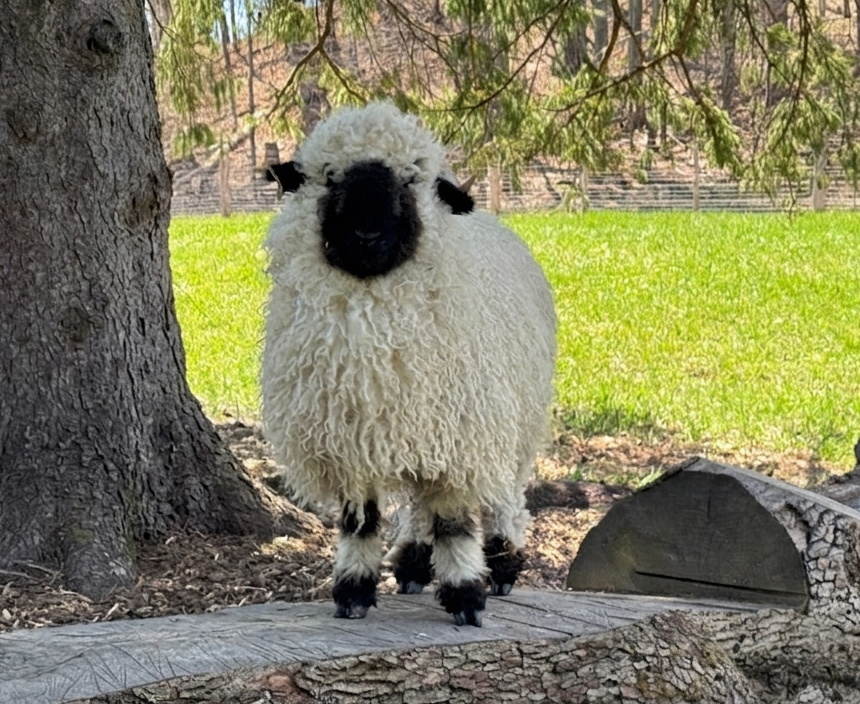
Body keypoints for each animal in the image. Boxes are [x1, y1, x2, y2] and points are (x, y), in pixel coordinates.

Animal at [262, 102, 557, 627]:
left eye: (410, 179)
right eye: (330, 176)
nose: (366, 233)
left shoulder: (461, 436)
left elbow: (456, 521)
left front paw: (466, 595)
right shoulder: (352, 440)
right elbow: (360, 521)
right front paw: (353, 591)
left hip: (512, 419)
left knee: (503, 496)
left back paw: (503, 563)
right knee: (420, 503)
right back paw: (415, 562)